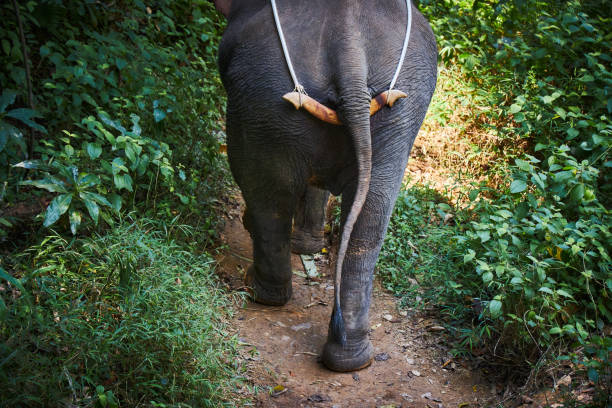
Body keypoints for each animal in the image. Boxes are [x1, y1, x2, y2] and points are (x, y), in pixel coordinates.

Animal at [213, 0, 438, 372]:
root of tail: (349, 46)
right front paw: (307, 246)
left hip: (262, 96)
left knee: (267, 192)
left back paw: (259, 292)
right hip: (402, 109)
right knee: (371, 217)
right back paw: (351, 360)